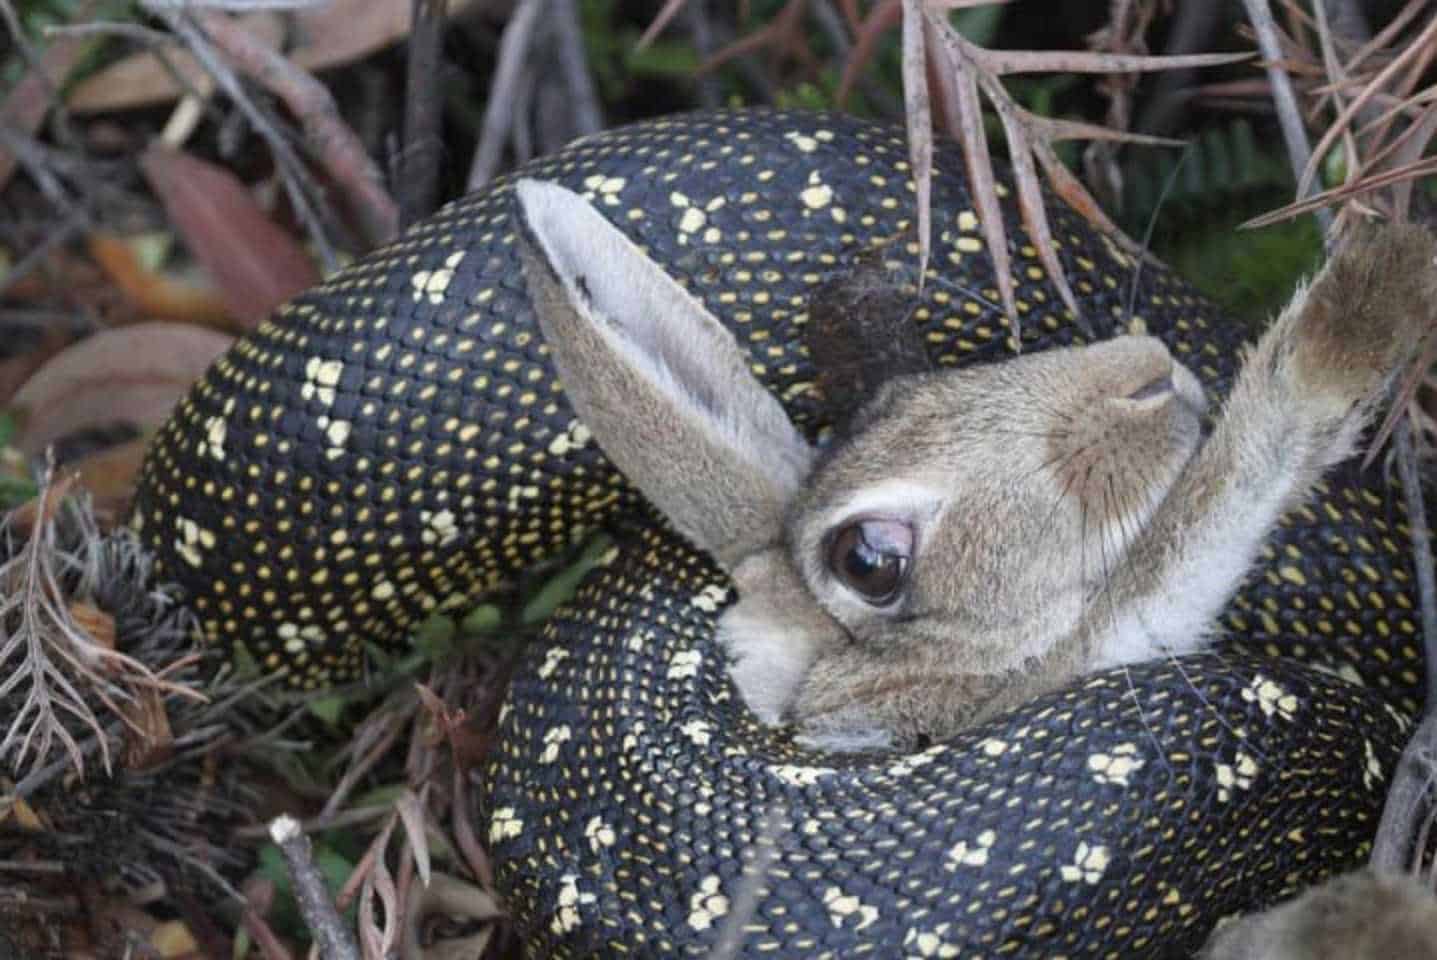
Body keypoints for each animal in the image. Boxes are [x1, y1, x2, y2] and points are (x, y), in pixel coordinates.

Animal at [517, 176, 1437, 753]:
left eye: (912, 384)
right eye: (868, 560)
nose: (1145, 378)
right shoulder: (1078, 651)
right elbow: (1218, 501)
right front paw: (1369, 294)